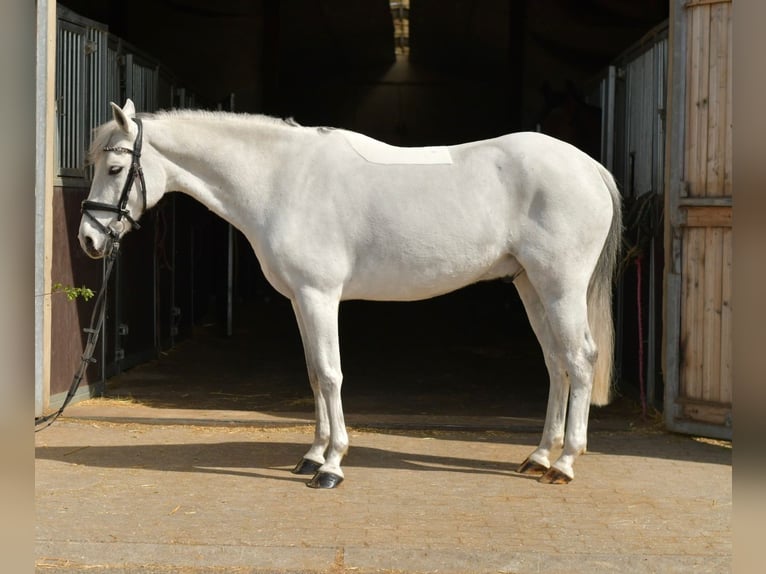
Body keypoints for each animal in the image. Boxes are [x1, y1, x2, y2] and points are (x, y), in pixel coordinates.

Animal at [79, 99, 621, 489]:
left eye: (114, 169)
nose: (88, 239)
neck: (282, 179)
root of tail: (590, 168)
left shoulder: (319, 295)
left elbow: (330, 374)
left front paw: (332, 466)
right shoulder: (300, 300)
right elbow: (313, 377)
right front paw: (312, 455)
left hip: (560, 285)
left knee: (579, 359)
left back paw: (565, 463)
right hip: (532, 285)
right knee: (555, 363)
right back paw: (539, 456)